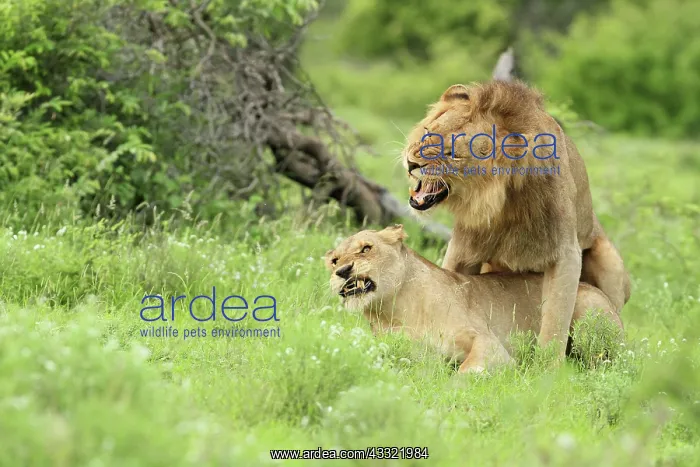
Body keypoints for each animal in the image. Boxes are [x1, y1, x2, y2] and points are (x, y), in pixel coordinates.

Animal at [324, 225, 623, 372]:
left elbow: (466, 372)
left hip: (586, 307)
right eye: (334, 260)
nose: (342, 271)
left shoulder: (490, 345)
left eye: (366, 249)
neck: (394, 310)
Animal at [401, 80, 631, 357]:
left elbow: (555, 320)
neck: (502, 202)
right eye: (427, 132)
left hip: (610, 264)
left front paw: (548, 366)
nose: (411, 163)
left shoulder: (565, 253)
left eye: (452, 153)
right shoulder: (464, 246)